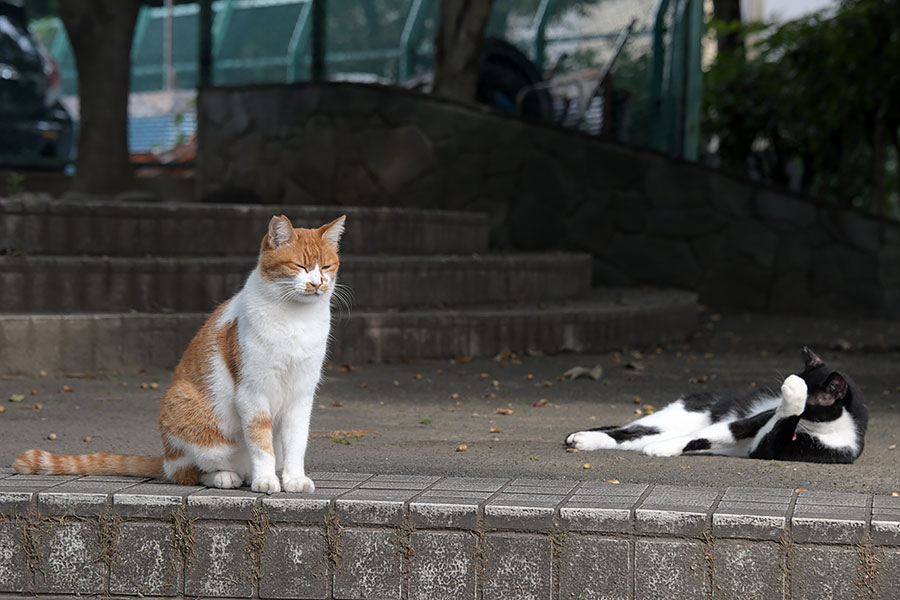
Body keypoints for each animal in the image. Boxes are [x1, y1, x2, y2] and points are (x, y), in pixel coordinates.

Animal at [14, 213, 344, 494]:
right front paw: (265, 480)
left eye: (326, 267)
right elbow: (261, 442)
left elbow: (296, 442)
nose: (317, 283)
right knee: (187, 472)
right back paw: (228, 476)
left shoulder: (301, 394)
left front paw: (294, 479)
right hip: (186, 409)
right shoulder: (253, 392)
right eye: (300, 267)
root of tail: (164, 458)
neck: (296, 320)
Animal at [568, 346, 868, 464]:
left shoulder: (776, 448)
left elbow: (765, 439)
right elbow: (711, 433)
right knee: (627, 430)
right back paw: (581, 437)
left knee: (634, 436)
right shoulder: (755, 420)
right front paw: (668, 448)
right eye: (778, 400)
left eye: (809, 405)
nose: (779, 403)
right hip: (678, 415)